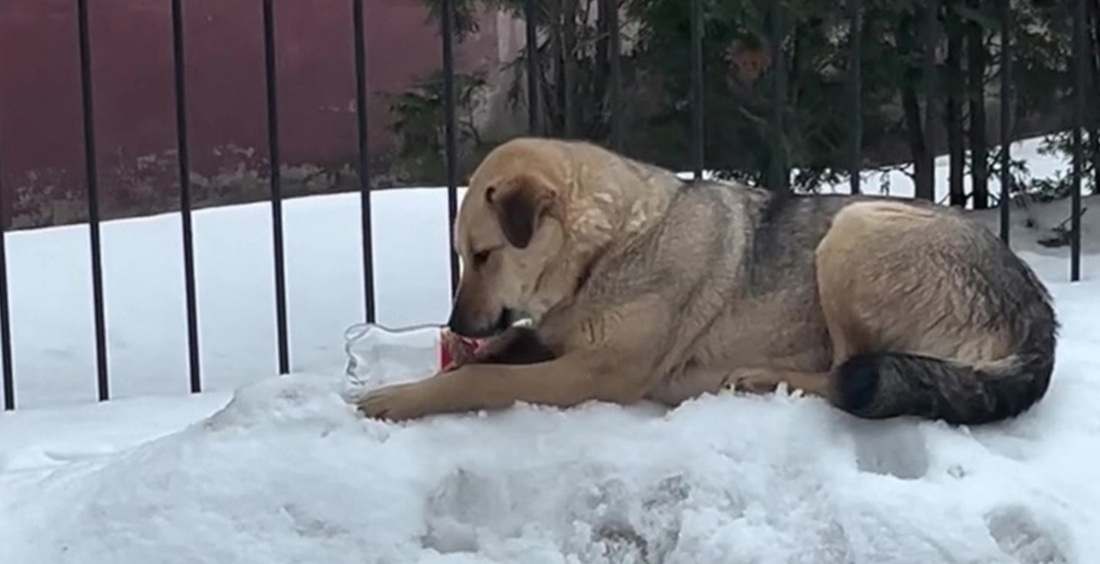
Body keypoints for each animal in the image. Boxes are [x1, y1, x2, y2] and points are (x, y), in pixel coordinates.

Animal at [356, 136, 1060, 424]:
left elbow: (482, 379)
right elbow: (495, 352)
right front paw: (426, 372)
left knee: (848, 373)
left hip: (854, 231)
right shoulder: (553, 338)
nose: (454, 324)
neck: (612, 244)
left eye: (482, 255)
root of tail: (1038, 316)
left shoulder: (594, 374)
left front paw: (400, 399)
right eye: (463, 256)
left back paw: (762, 380)